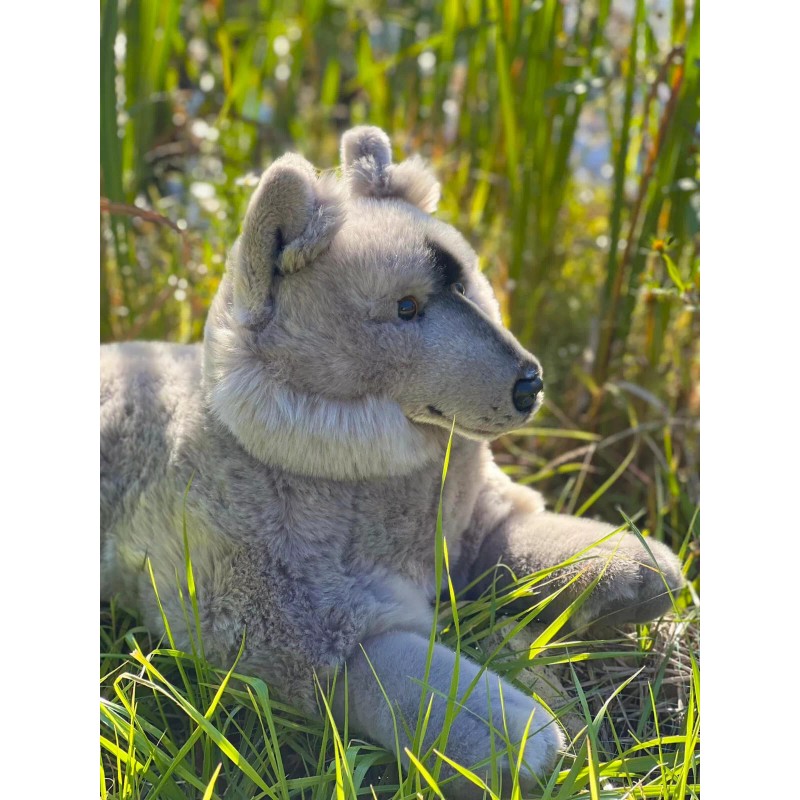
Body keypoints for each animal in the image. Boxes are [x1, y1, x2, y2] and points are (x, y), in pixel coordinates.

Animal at [100, 126, 683, 797]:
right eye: (405, 308)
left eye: (467, 285)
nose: (530, 384)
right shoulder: (279, 622)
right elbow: (400, 673)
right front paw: (515, 739)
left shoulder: (473, 522)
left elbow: (518, 537)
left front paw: (634, 568)